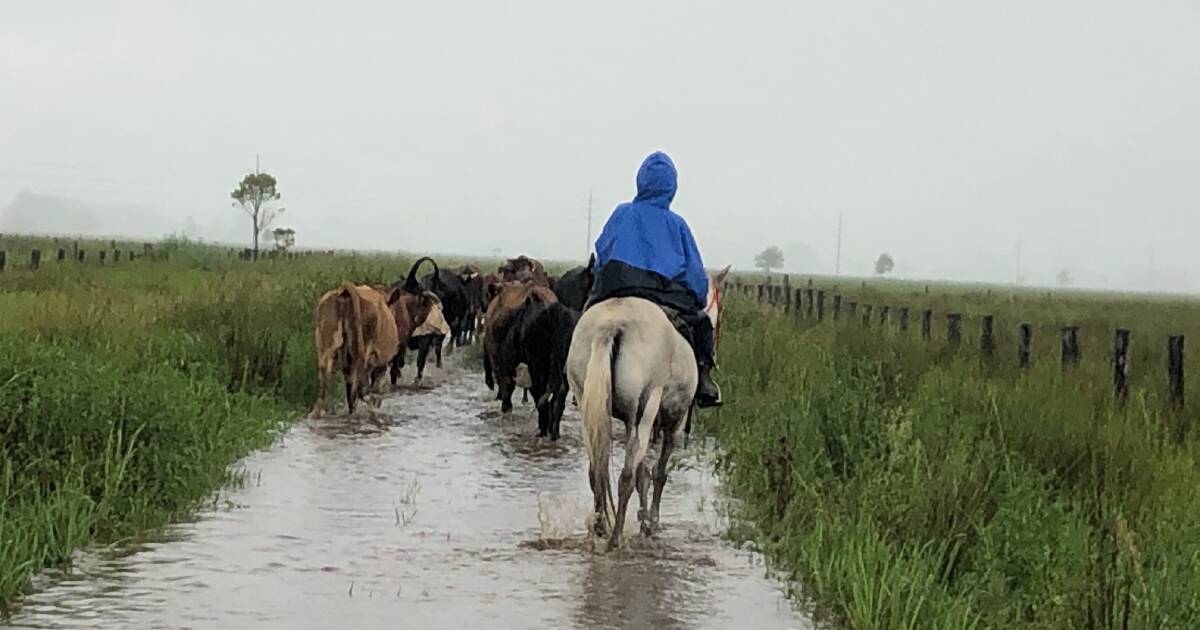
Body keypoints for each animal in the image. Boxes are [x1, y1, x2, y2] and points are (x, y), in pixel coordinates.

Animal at [312, 282, 400, 415]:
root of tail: (344, 291)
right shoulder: (381, 362)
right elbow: (377, 386)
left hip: (327, 343)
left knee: (326, 375)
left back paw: (320, 411)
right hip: (362, 351)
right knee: (357, 382)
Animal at [499, 298, 578, 436]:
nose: (505, 408)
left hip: (538, 365)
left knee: (541, 393)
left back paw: (544, 430)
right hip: (563, 367)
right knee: (559, 396)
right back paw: (554, 433)